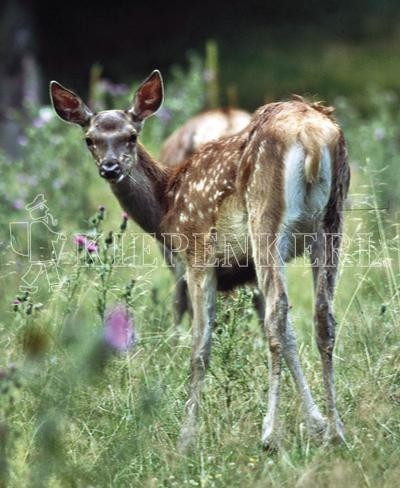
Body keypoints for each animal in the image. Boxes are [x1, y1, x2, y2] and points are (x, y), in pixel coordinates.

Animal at [50, 70, 350, 452]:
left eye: (132, 136)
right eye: (90, 139)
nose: (110, 167)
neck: (168, 206)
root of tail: (311, 137)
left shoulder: (197, 256)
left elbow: (199, 348)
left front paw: (186, 438)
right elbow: (291, 334)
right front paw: (317, 423)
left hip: (266, 219)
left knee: (276, 314)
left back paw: (269, 435)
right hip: (332, 220)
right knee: (322, 316)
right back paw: (337, 431)